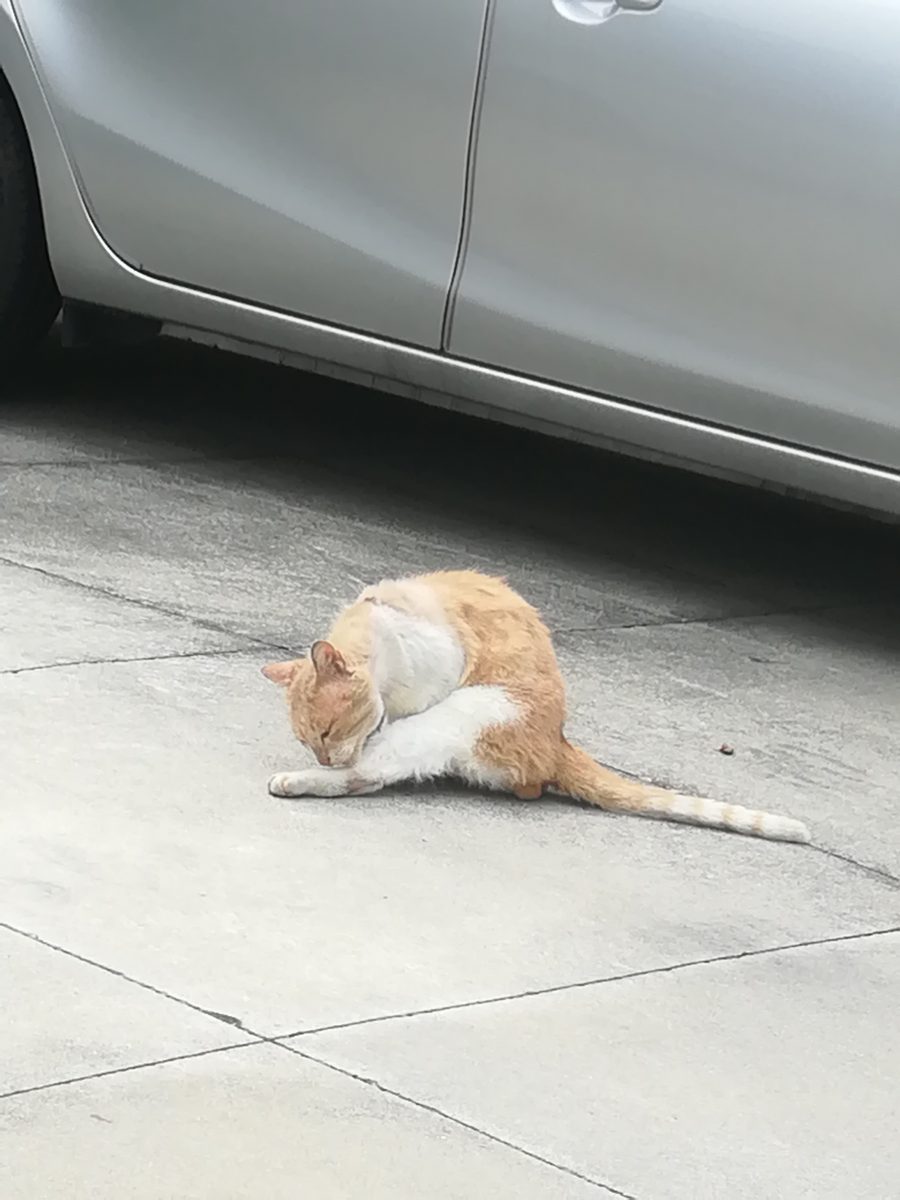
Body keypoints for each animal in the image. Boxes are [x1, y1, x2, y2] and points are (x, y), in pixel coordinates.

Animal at [262, 570, 810, 843]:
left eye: (327, 732)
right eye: (308, 740)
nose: (322, 758)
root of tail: (557, 743)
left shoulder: (437, 673)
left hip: (469, 709)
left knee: (371, 775)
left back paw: (297, 782)